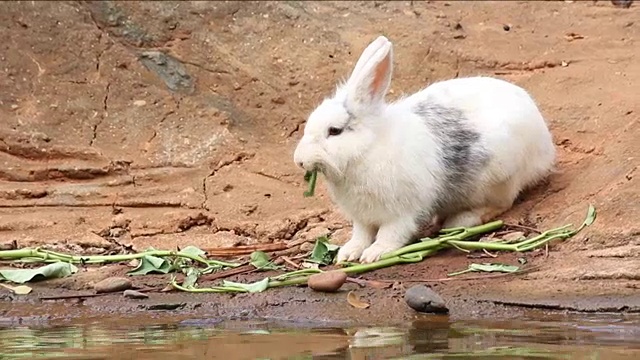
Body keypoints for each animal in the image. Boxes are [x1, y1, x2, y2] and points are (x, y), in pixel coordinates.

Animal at [294, 35, 556, 262]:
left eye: (334, 131)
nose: (299, 160)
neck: (368, 149)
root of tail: (545, 144)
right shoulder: (363, 218)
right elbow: (360, 235)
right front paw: (347, 254)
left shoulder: (401, 213)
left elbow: (390, 234)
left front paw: (374, 255)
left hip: (500, 178)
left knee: (501, 204)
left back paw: (458, 220)